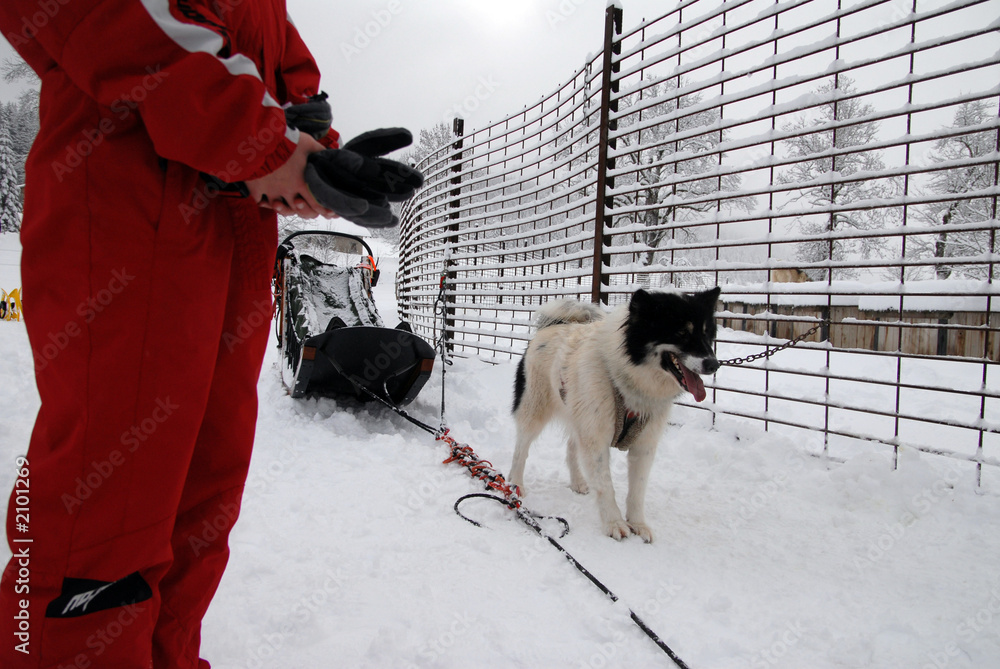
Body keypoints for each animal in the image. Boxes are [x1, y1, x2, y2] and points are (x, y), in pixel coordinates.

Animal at [516, 288, 720, 544]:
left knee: (572, 448)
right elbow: (606, 484)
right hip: (535, 410)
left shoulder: (643, 444)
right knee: (521, 450)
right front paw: (614, 523)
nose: (714, 364)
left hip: (578, 416)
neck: (626, 379)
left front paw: (638, 524)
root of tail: (556, 325)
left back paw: (578, 482)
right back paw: (514, 486)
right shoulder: (597, 438)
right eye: (681, 333)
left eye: (707, 333)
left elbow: (637, 490)